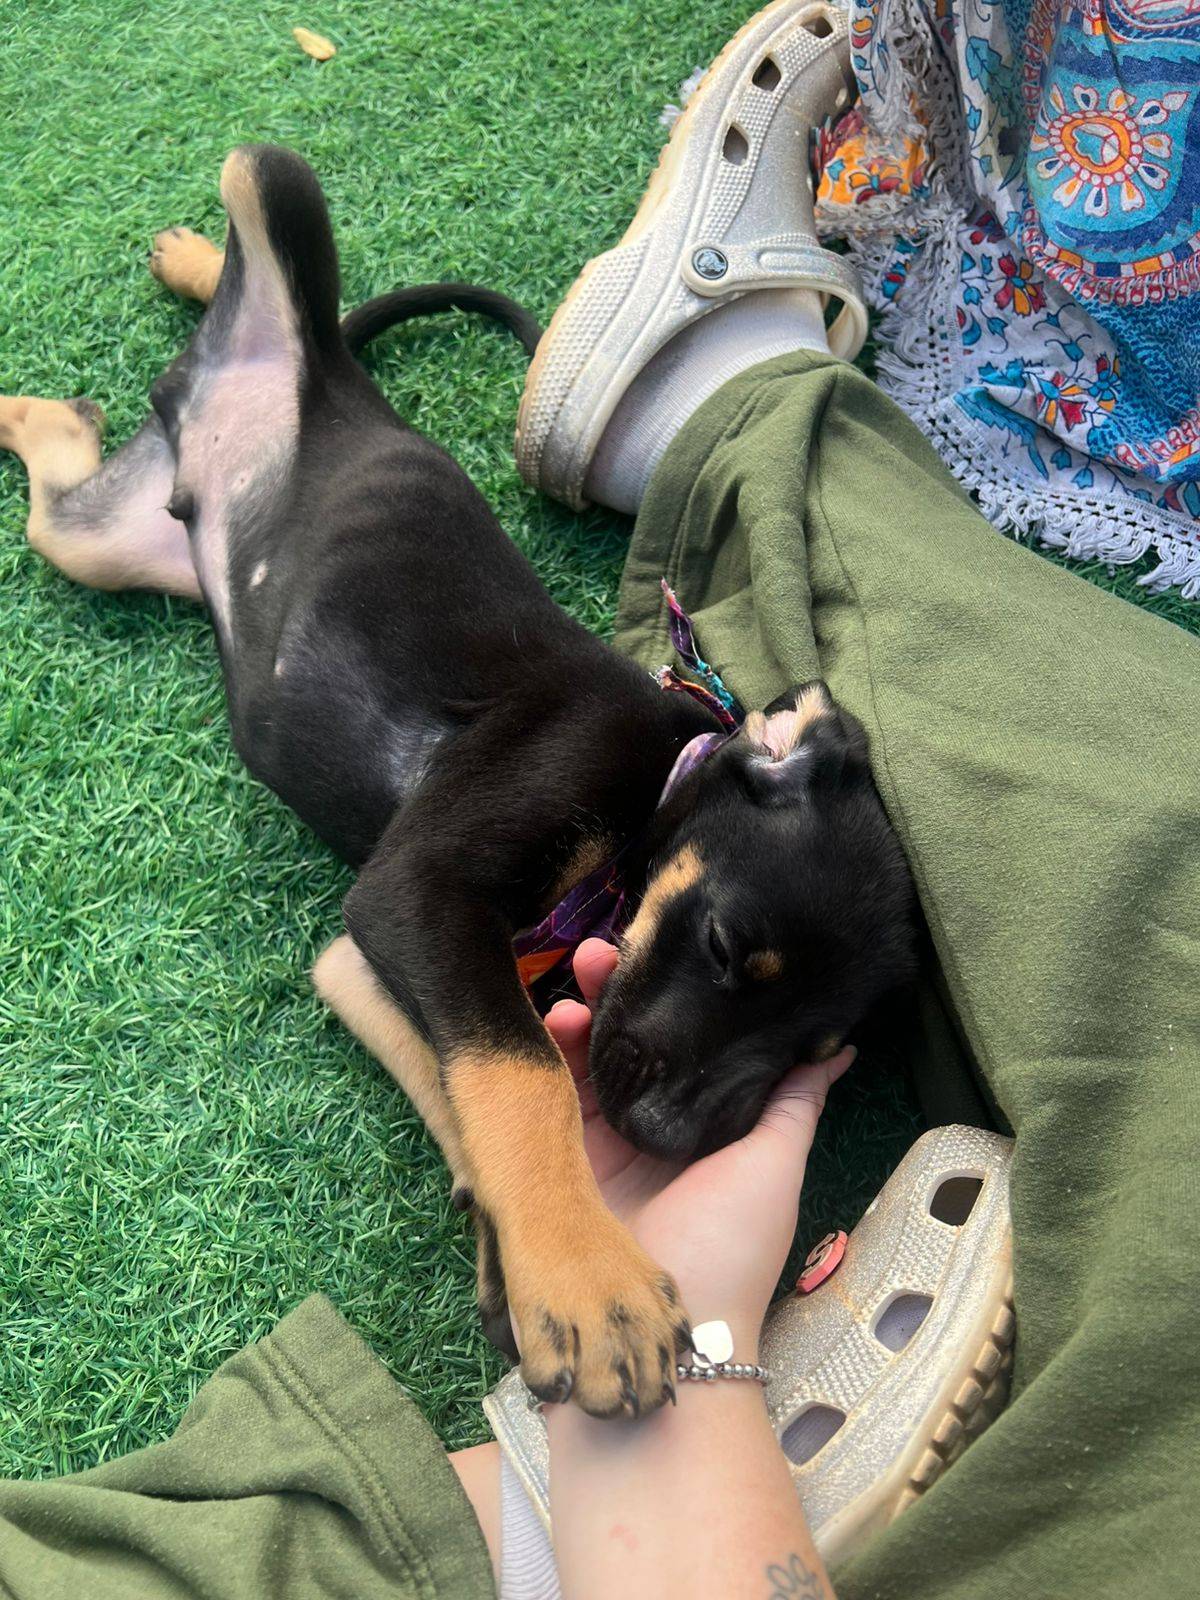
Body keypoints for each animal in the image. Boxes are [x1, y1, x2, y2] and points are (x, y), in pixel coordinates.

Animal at [0, 145, 917, 1417]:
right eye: (732, 949)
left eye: (813, 1046)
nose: (662, 1132)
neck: (659, 784)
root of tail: (333, 393)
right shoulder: (416, 892)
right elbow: (522, 1072)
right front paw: (591, 1281)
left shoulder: (365, 954)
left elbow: (464, 1074)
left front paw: (515, 1260)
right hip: (281, 192)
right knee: (261, 225)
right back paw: (191, 265)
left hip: (111, 538)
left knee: (72, 468)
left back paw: (76, 376)